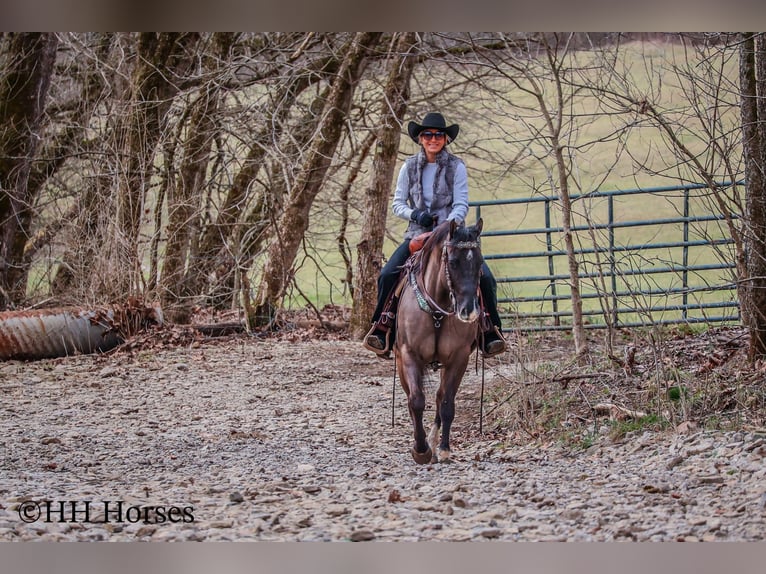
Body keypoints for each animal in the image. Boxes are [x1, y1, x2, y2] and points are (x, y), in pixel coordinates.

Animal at [396, 218, 486, 466]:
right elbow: (416, 400)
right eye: (453, 262)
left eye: (480, 262)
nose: (469, 311)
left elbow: (446, 403)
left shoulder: (459, 358)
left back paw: (435, 443)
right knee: (411, 397)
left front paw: (443, 449)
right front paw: (420, 449)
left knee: (439, 397)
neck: (437, 311)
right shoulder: (409, 354)